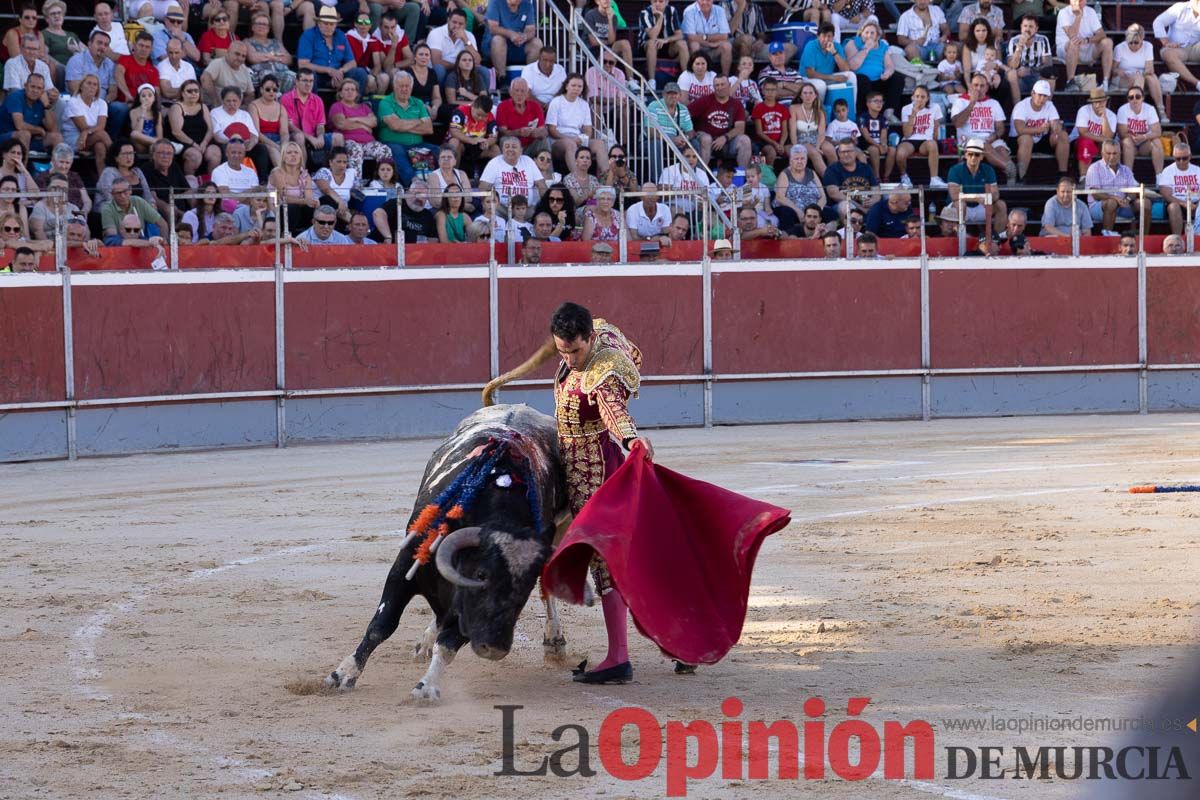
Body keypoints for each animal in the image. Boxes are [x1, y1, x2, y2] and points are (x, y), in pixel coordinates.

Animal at [326, 407, 568, 700]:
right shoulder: (405, 566)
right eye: (480, 574)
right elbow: (381, 625)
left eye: (524, 589)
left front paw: (427, 686)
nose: (494, 647)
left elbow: (449, 643)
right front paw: (343, 674)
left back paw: (554, 640)